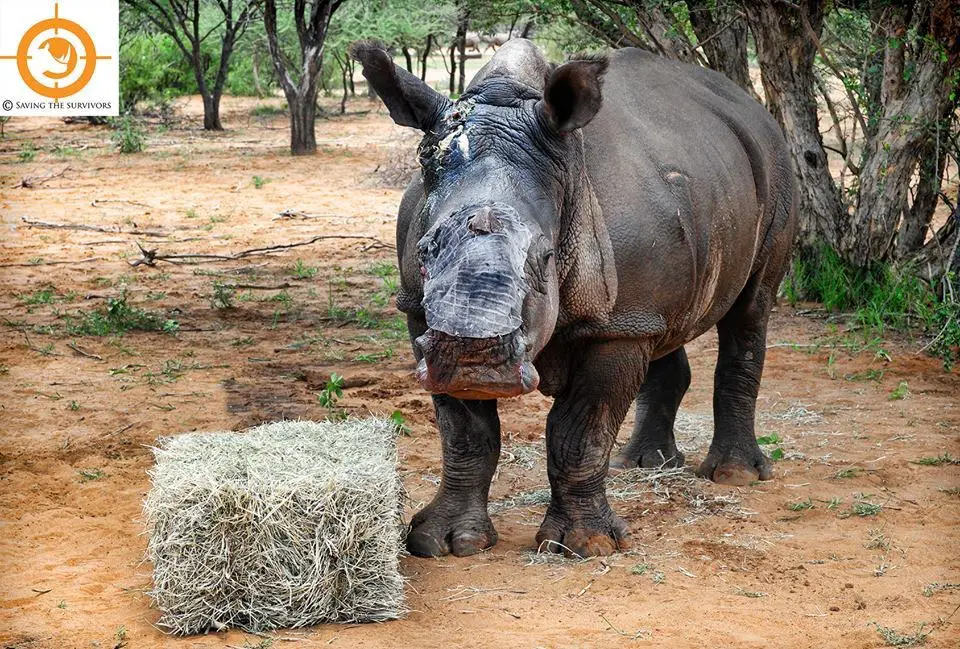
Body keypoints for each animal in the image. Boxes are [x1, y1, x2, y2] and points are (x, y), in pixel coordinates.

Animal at [350, 39, 796, 556]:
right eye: (424, 251)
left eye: (544, 259)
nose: (472, 360)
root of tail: (751, 108)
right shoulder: (420, 314)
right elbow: (464, 433)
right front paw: (443, 542)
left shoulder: (614, 331)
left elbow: (580, 431)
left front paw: (584, 545)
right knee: (666, 324)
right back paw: (644, 464)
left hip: (775, 163)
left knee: (750, 309)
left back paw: (734, 475)